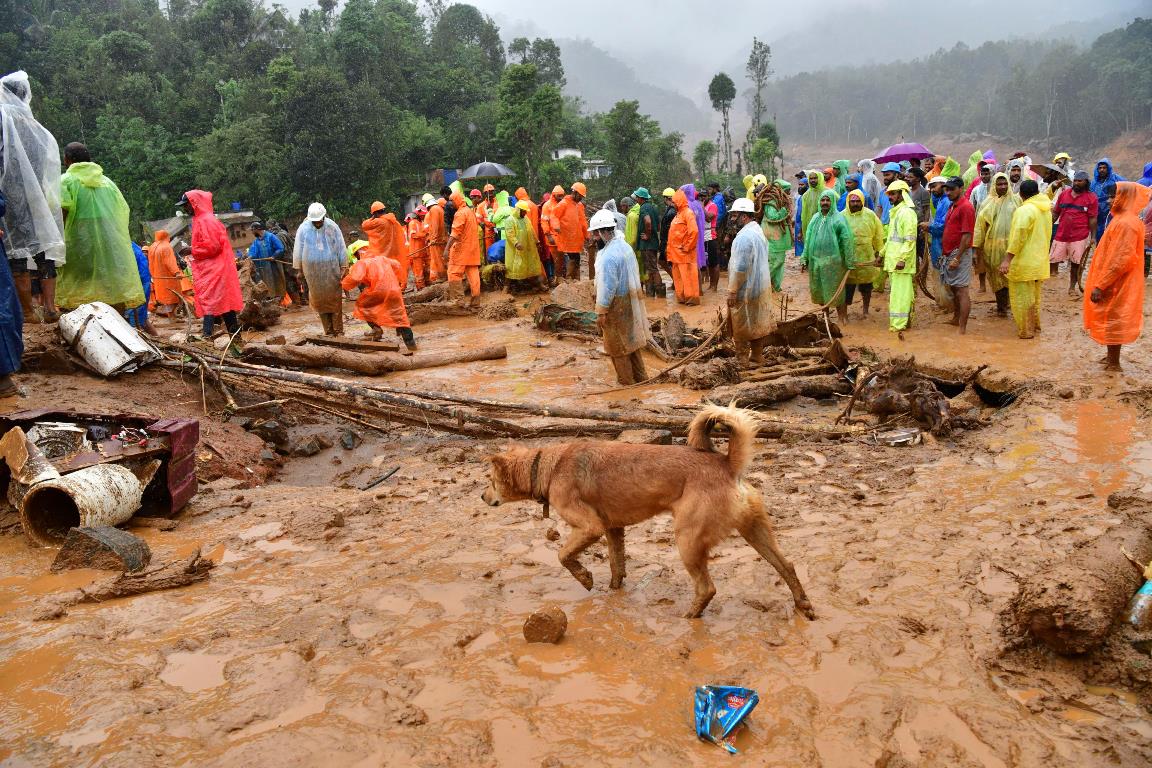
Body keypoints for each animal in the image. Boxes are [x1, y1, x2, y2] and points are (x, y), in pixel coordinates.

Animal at [481, 405, 815, 621]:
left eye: (490, 480)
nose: (482, 497)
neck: (547, 466)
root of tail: (727, 464)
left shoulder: (590, 527)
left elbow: (563, 555)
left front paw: (585, 579)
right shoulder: (613, 529)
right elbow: (616, 566)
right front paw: (613, 592)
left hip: (687, 539)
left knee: (707, 587)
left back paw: (690, 616)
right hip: (754, 530)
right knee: (787, 566)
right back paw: (803, 605)